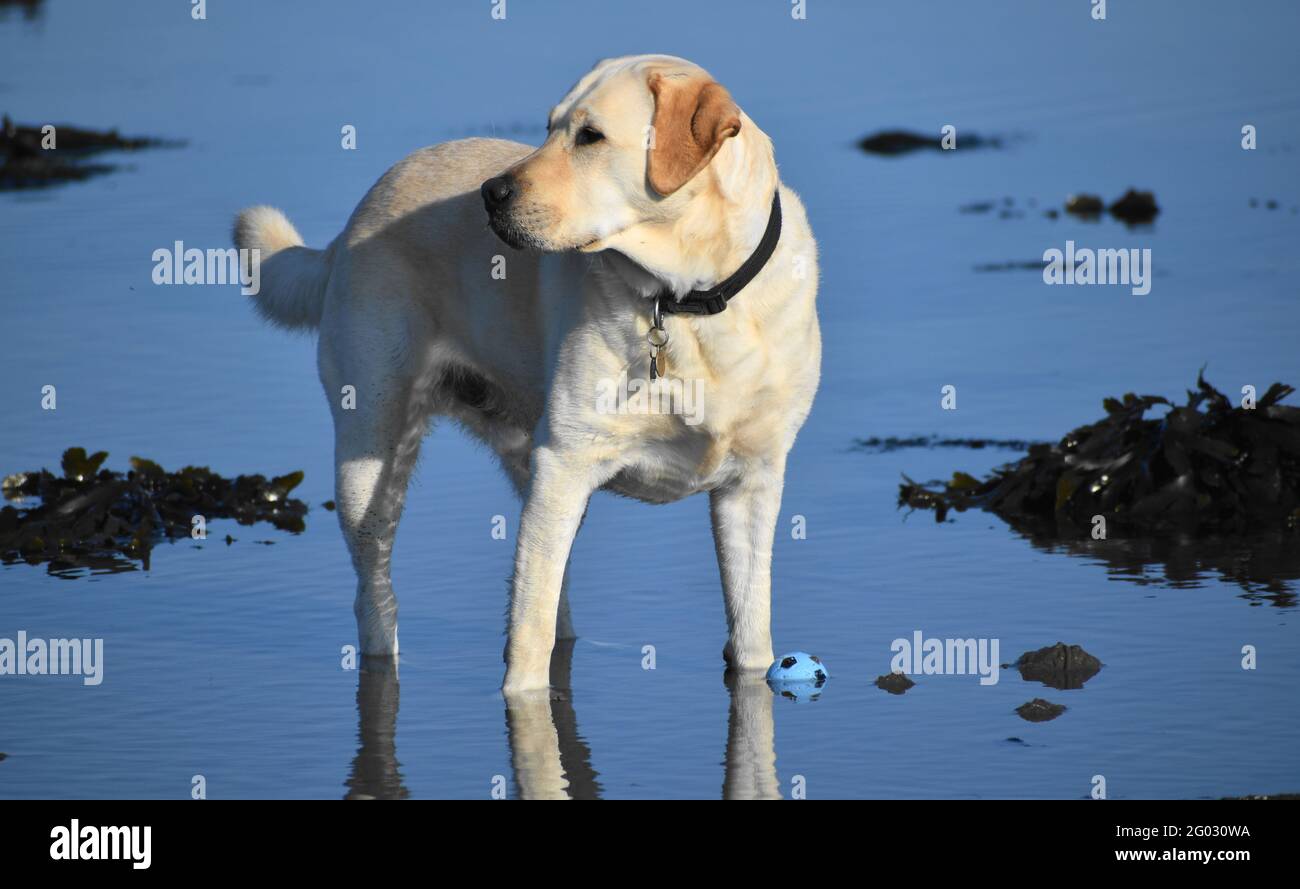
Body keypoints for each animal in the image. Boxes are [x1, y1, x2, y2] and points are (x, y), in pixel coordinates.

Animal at [239, 55, 816, 696]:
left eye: (590, 137)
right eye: (548, 128)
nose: (490, 195)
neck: (688, 300)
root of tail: (351, 222)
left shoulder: (752, 483)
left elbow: (752, 637)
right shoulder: (566, 461)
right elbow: (527, 641)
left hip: (528, 468)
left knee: (546, 594)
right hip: (372, 455)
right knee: (378, 595)